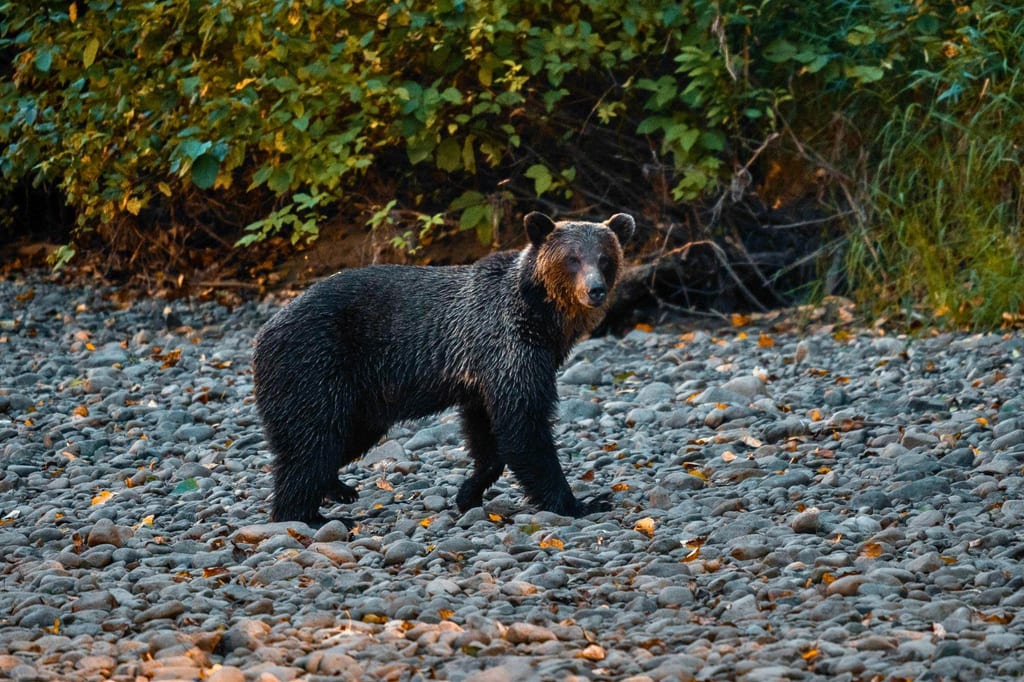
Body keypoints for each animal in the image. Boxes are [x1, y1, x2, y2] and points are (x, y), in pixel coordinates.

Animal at [252, 211, 635, 524]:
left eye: (605, 257)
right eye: (572, 259)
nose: (595, 290)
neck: (543, 320)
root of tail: (261, 333)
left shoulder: (485, 373)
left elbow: (487, 434)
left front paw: (468, 492)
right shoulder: (508, 346)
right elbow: (524, 425)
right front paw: (579, 502)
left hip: (362, 395)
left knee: (343, 436)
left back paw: (338, 488)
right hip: (315, 364)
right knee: (311, 440)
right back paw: (309, 515)